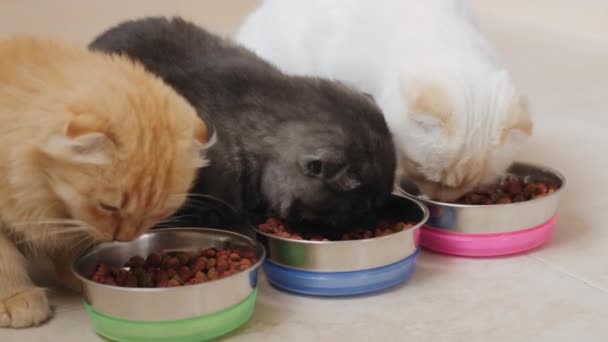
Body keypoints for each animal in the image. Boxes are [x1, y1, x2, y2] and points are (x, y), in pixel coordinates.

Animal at [0, 36, 211, 328]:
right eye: (109, 207)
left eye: (158, 213)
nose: (123, 239)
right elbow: (5, 261)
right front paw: (17, 297)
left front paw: (75, 275)